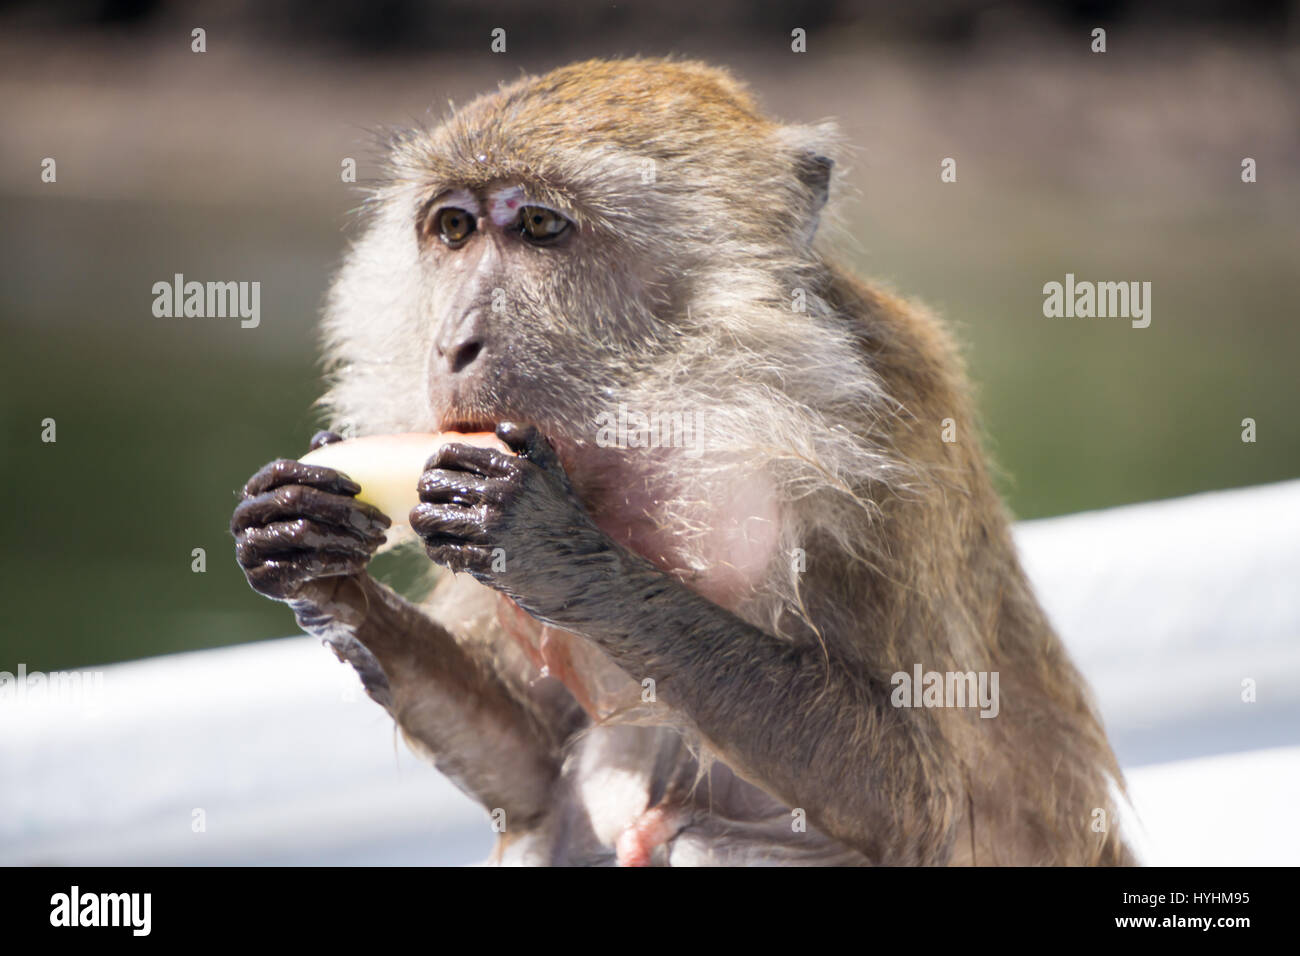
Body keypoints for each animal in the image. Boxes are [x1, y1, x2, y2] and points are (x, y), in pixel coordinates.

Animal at [228, 57, 1133, 868]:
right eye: (454, 228)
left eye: (540, 226)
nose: (452, 343)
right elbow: (527, 776)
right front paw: (316, 560)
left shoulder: (890, 442)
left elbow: (921, 800)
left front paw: (559, 551)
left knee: (709, 841)